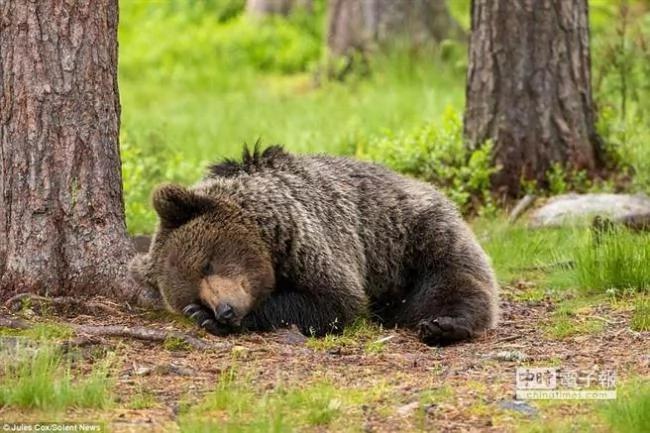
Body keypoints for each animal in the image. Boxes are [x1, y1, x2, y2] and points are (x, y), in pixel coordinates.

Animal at [130, 145, 499, 345]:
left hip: (414, 235)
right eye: (192, 294)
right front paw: (204, 318)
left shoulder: (313, 239)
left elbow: (334, 301)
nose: (225, 309)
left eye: (207, 263)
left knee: (450, 283)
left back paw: (444, 325)